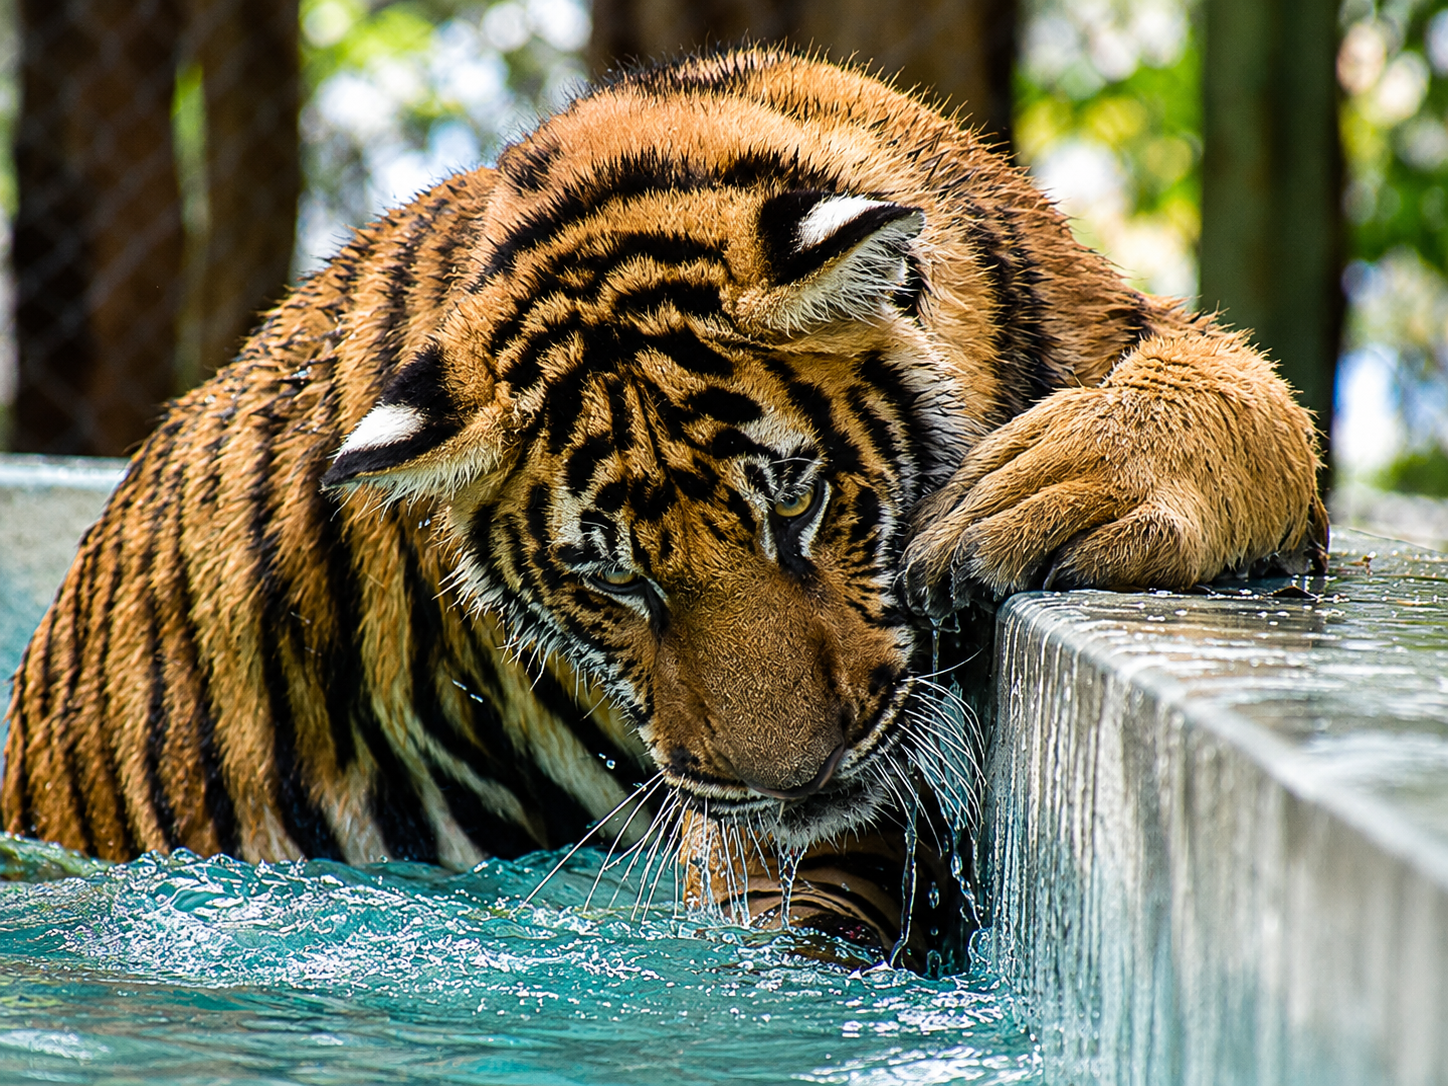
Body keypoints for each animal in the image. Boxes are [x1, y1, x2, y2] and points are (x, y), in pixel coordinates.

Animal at [2, 48, 1326, 960]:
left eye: (797, 504)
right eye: (614, 578)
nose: (797, 780)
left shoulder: (1128, 323)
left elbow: (1233, 396)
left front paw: (1040, 486)